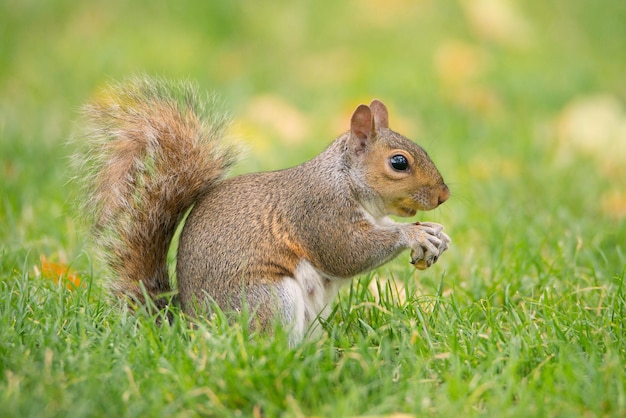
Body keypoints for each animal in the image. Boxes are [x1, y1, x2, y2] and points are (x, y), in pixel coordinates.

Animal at [78, 75, 448, 342]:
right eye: (398, 162)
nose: (443, 196)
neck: (346, 179)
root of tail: (192, 328)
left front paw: (437, 235)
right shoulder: (319, 211)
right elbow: (346, 252)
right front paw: (413, 234)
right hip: (267, 299)